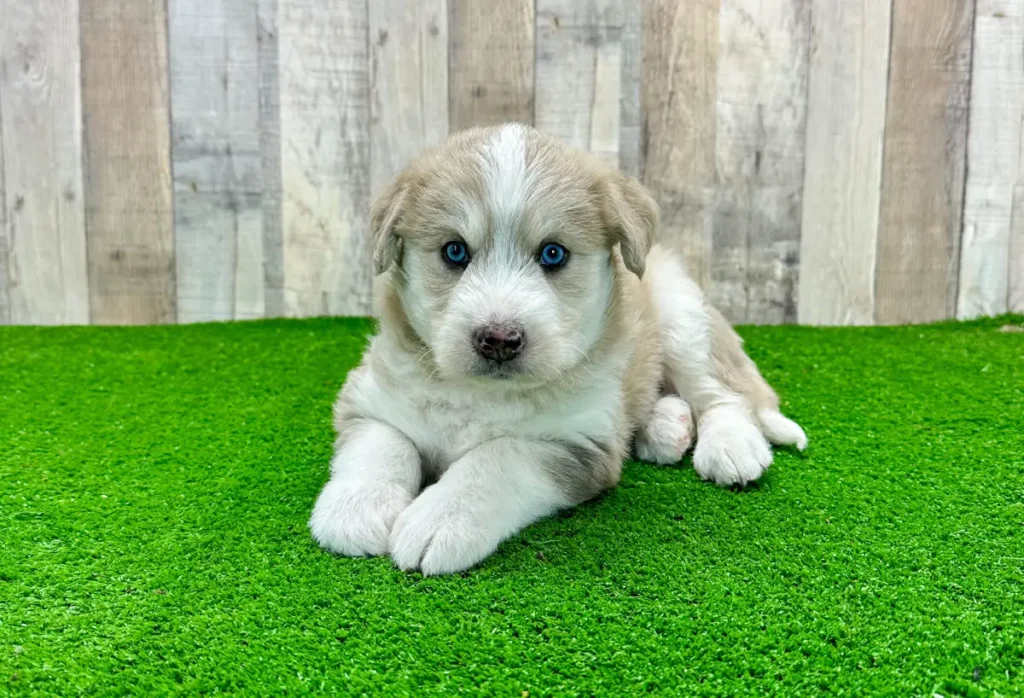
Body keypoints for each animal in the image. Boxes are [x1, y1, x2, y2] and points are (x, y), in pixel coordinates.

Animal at [307, 122, 802, 573]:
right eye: (454, 251)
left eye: (553, 253)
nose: (499, 340)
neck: (483, 396)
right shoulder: (371, 398)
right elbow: (382, 445)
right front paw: (356, 508)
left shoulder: (577, 443)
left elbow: (497, 457)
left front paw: (441, 518)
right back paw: (666, 427)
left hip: (684, 320)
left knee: (724, 393)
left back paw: (732, 446)